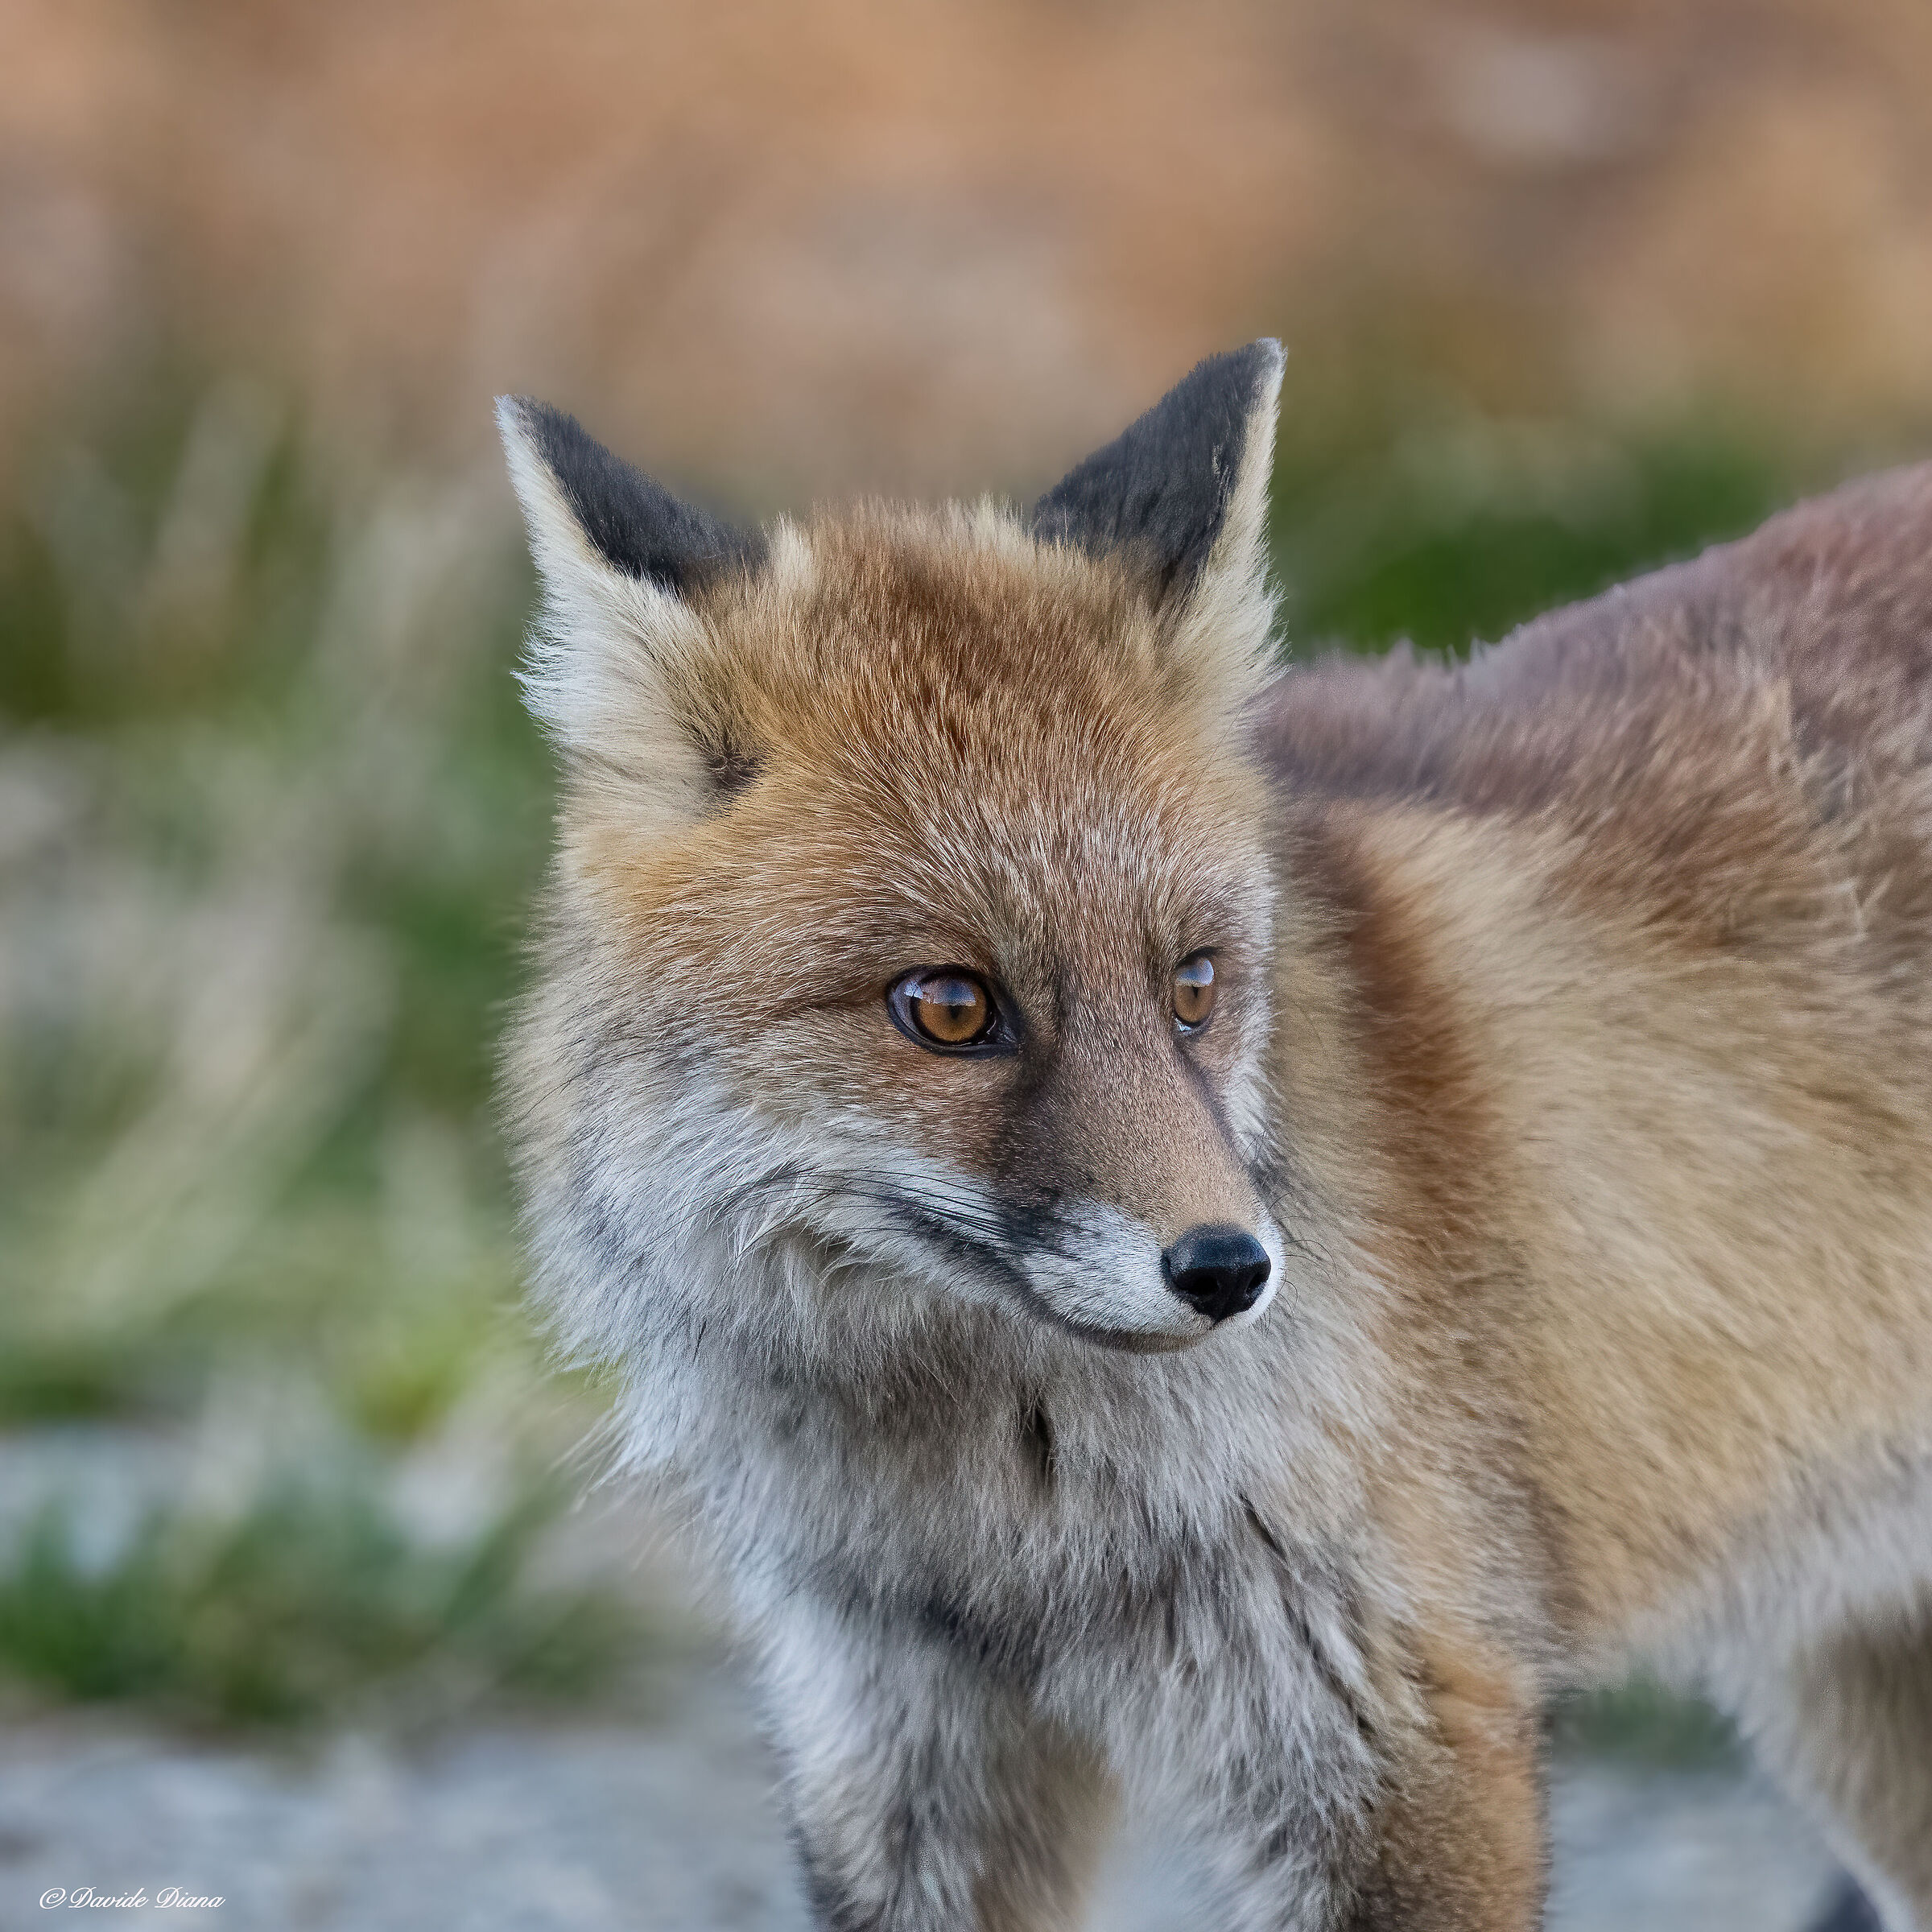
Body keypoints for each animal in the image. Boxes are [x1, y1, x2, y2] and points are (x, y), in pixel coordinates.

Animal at [496, 343, 1932, 1931]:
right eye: (949, 1006)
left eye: (1193, 983)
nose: (1231, 1270)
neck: (997, 1528)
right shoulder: (899, 1732)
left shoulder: (1398, 1735)